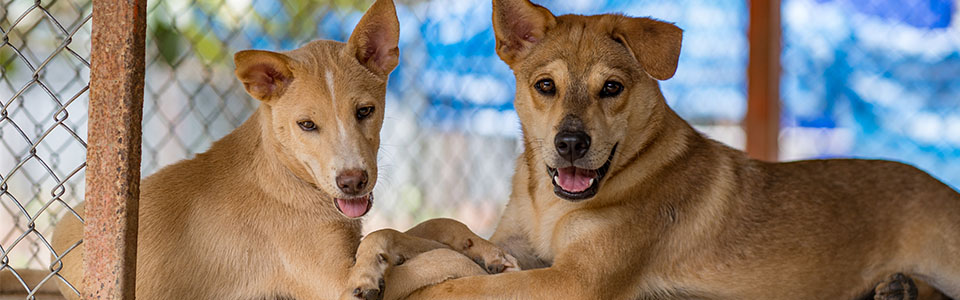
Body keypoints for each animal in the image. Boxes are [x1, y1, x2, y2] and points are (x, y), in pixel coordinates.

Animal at [48, 0, 512, 300]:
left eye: (365, 111)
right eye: (307, 125)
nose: (353, 182)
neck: (287, 176)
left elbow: (419, 228)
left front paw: (483, 249)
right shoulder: (331, 286)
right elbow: (419, 253)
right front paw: (464, 266)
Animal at [404, 0, 960, 300]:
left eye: (611, 88)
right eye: (545, 86)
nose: (571, 144)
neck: (551, 207)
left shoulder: (575, 279)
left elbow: (468, 287)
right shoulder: (519, 250)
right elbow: (459, 238)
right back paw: (899, 289)